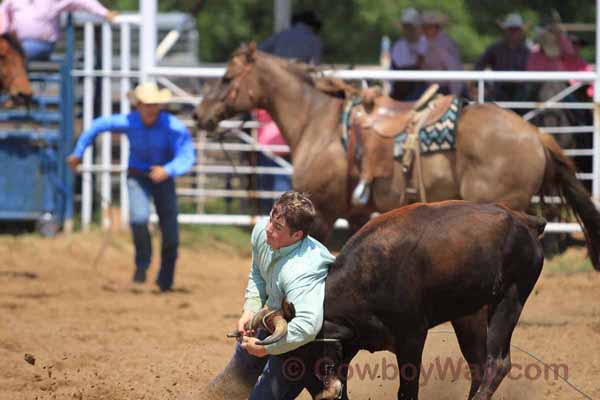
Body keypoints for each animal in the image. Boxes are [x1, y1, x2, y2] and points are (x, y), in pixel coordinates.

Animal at [192, 43, 600, 272]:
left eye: (227, 78)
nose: (200, 114)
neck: (319, 122)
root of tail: (535, 134)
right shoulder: (357, 214)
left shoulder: (322, 213)